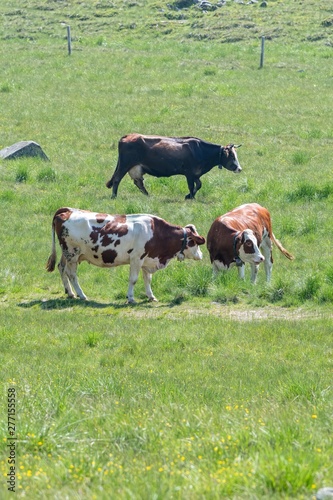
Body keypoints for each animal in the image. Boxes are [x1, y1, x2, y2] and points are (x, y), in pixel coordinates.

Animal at [46, 206, 205, 300]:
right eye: (194, 242)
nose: (201, 255)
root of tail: (68, 210)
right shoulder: (136, 258)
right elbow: (133, 279)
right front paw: (130, 298)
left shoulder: (147, 259)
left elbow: (148, 279)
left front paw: (151, 296)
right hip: (72, 253)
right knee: (71, 274)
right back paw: (81, 294)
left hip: (66, 253)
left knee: (61, 268)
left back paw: (70, 292)